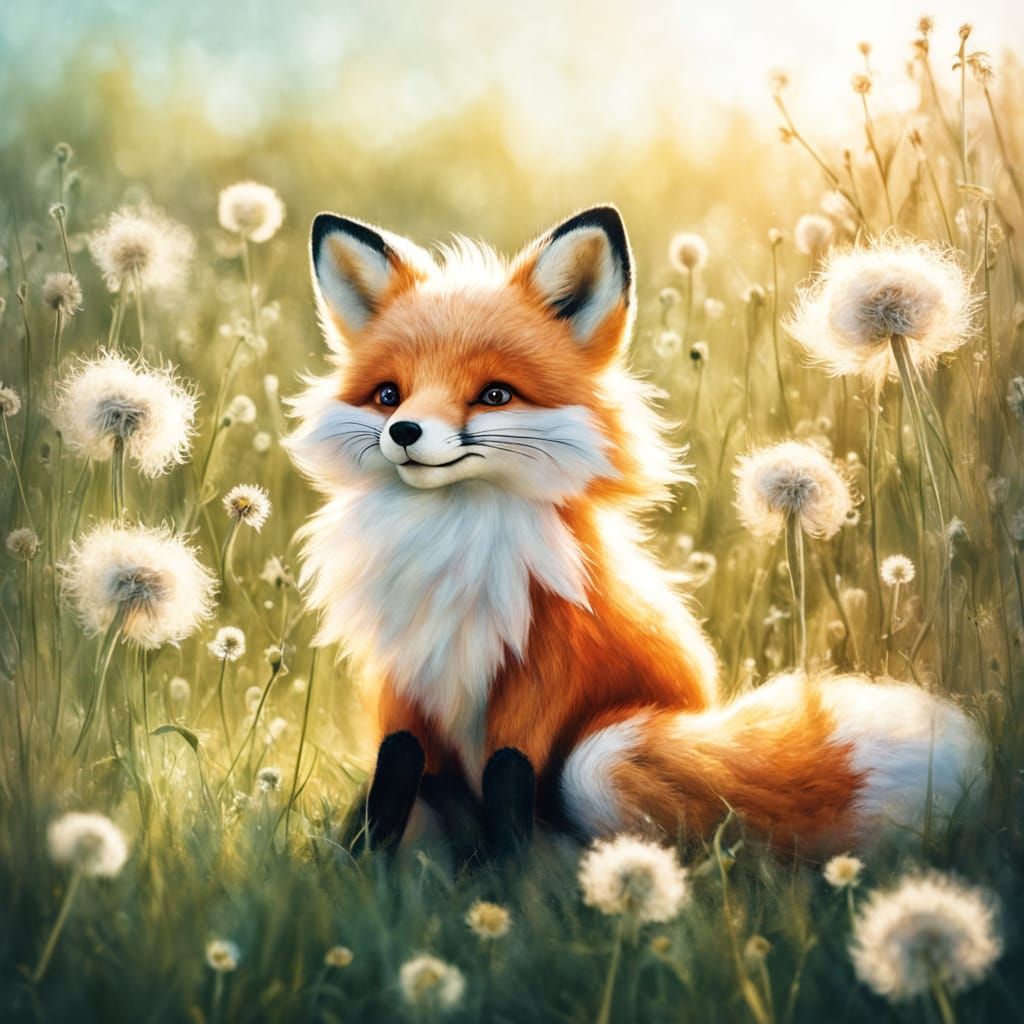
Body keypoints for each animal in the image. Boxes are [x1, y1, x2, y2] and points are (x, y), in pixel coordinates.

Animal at [285, 204, 986, 862]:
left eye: (494, 395)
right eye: (388, 394)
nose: (403, 433)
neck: (452, 545)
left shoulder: (544, 676)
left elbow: (509, 776)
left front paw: (506, 890)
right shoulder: (405, 683)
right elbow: (392, 774)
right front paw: (357, 872)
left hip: (604, 752)